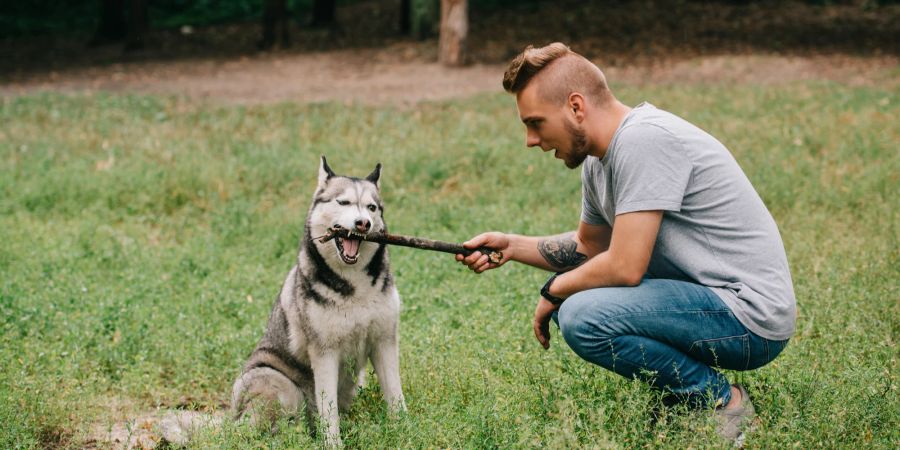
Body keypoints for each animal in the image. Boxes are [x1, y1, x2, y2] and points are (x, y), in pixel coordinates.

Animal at [229, 156, 404, 444]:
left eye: (372, 208)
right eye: (343, 202)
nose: (363, 223)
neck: (354, 286)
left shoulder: (384, 341)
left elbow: (396, 396)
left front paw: (407, 430)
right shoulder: (324, 353)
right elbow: (328, 410)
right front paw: (333, 444)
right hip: (279, 385)